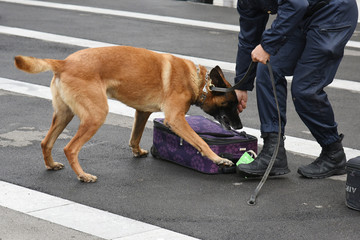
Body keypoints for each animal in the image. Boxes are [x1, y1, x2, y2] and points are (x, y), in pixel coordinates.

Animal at [14, 46, 242, 182]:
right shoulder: (176, 119)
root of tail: (64, 63)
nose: (240, 127)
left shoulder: (142, 112)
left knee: (46, 142)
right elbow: (201, 142)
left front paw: (137, 151)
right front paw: (218, 159)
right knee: (70, 148)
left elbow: (135, 136)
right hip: (96, 115)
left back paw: (51, 165)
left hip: (64, 115)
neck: (198, 81)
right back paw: (83, 176)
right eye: (232, 104)